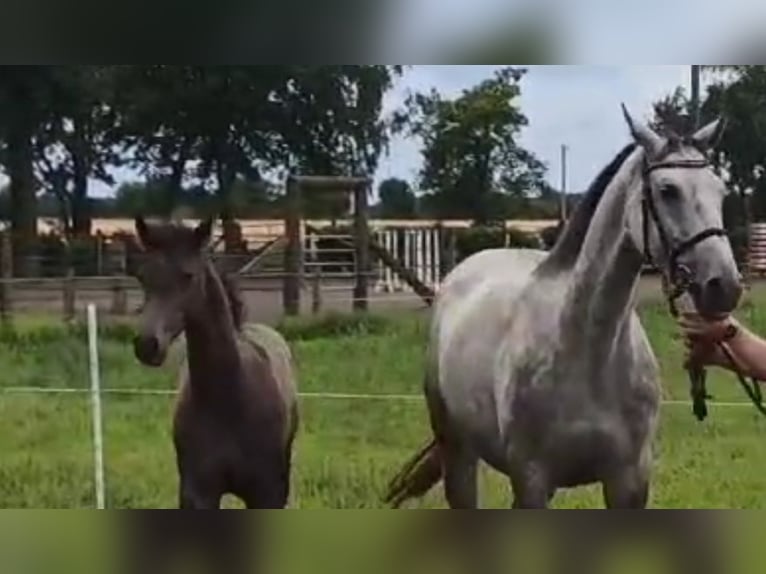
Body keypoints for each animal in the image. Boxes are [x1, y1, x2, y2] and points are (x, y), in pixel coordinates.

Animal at [388, 109, 748, 512]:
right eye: (668, 190)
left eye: (720, 191)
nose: (724, 286)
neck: (589, 350)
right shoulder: (531, 479)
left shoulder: (629, 481)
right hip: (457, 451)